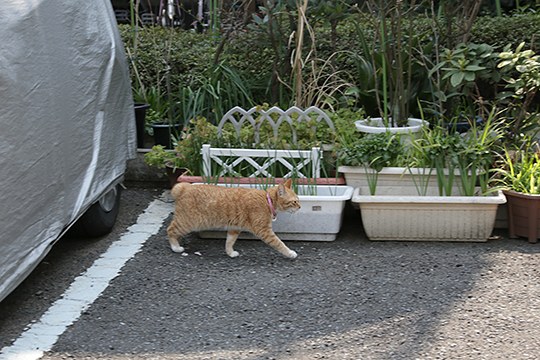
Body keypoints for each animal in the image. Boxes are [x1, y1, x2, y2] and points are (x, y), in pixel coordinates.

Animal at [167, 179, 302, 258]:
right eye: (294, 202)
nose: (300, 207)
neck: (267, 200)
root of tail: (184, 187)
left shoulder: (234, 228)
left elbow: (229, 242)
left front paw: (230, 253)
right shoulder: (264, 231)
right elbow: (279, 243)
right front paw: (290, 253)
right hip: (187, 223)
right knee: (170, 230)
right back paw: (176, 247)